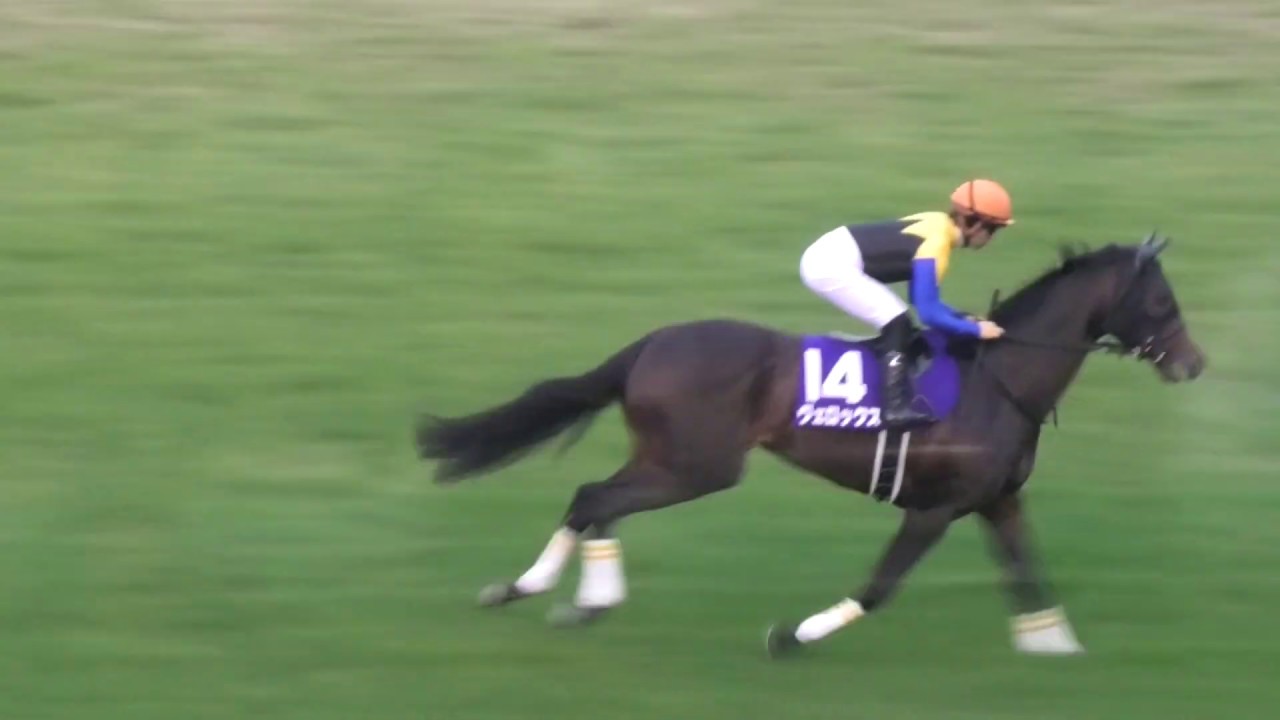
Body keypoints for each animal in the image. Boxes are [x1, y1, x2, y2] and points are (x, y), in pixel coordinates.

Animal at [416, 233, 1206, 657]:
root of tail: (650, 344)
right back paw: (580, 599)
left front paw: (1056, 646)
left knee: (591, 499)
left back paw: (533, 590)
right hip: (698, 466)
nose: (1193, 364)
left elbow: (1028, 571)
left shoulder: (996, 500)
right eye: (1161, 303)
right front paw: (791, 636)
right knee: (599, 498)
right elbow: (880, 587)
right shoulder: (934, 508)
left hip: (671, 458)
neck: (1000, 379)